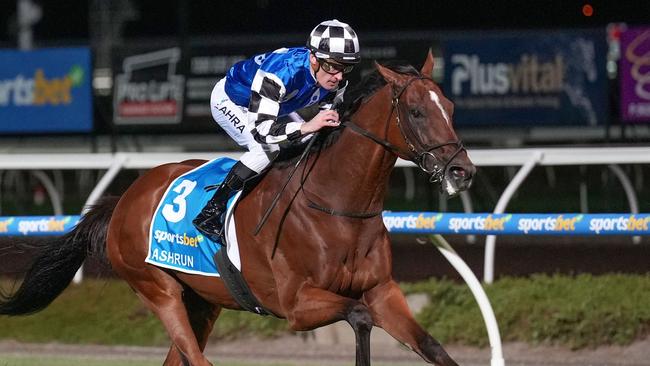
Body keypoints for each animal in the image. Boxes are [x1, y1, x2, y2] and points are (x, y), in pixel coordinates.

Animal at [1, 52, 476, 366]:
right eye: (416, 111)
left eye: (450, 108)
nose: (462, 171)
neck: (337, 207)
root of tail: (125, 200)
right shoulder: (296, 305)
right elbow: (360, 317)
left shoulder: (383, 291)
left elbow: (431, 346)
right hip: (159, 290)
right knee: (196, 360)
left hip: (203, 301)